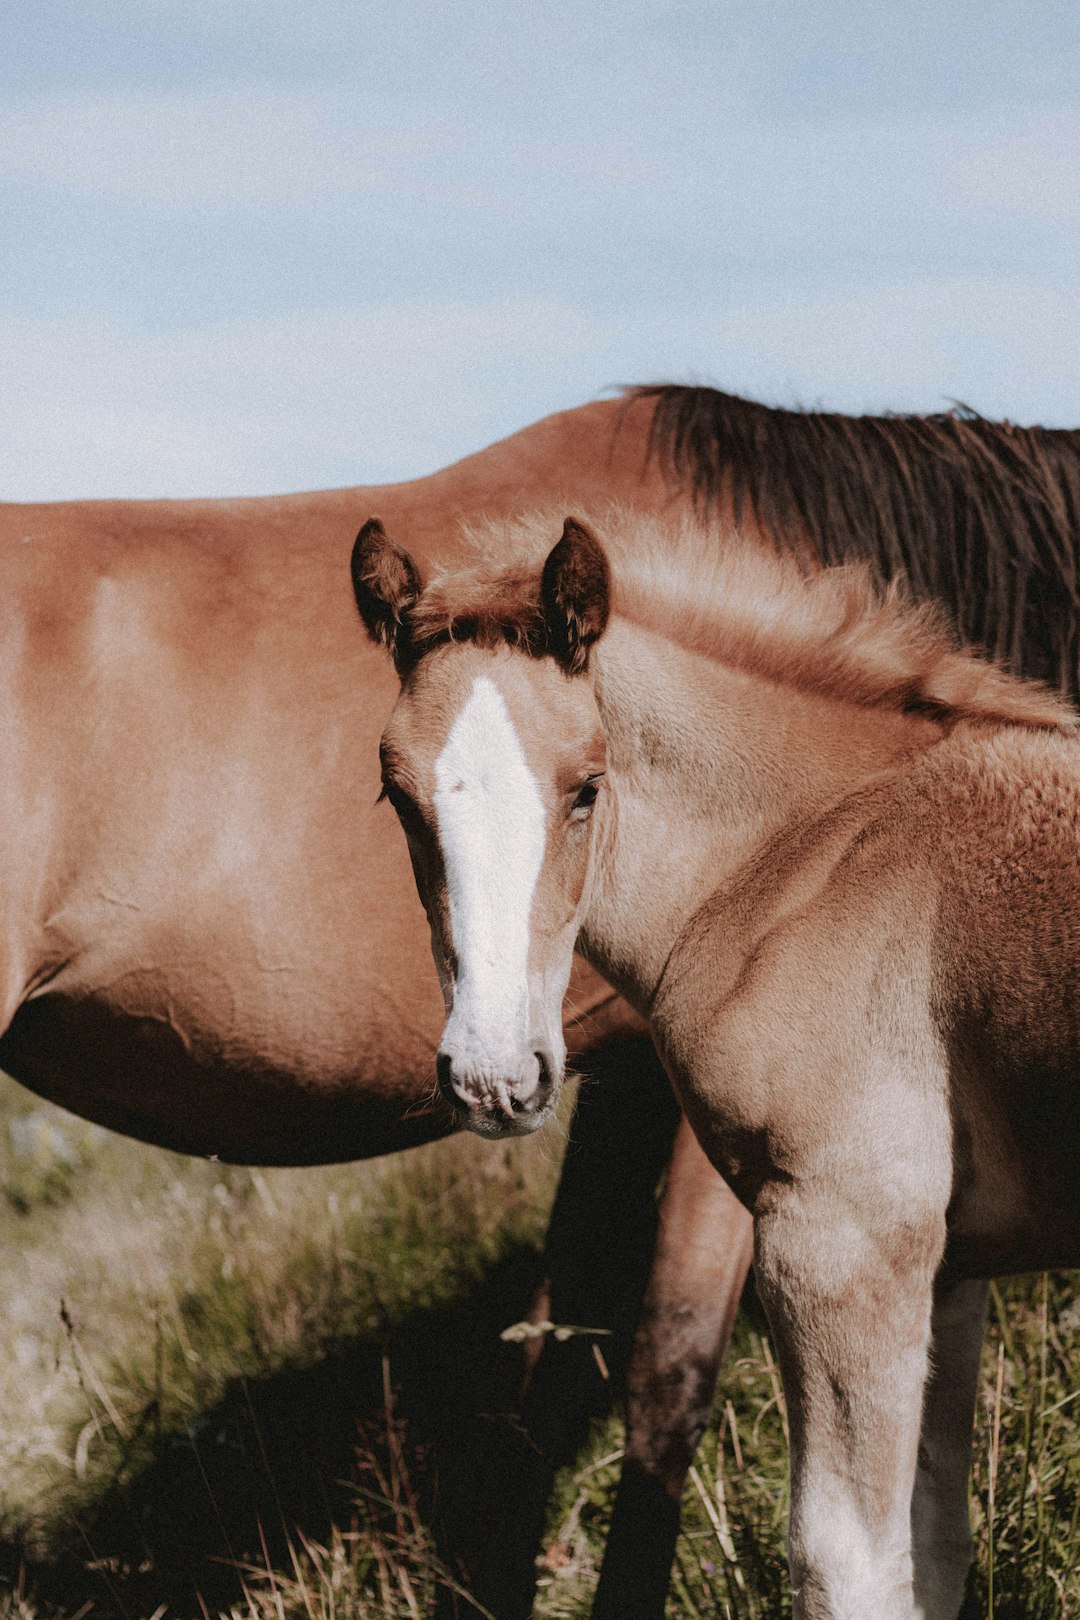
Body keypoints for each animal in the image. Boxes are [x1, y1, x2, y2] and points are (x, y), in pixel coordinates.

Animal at [2, 385, 1080, 1613]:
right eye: (394, 794)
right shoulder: (802, 1201)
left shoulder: (808, 1196)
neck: (826, 839)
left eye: (586, 787)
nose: (488, 1073)